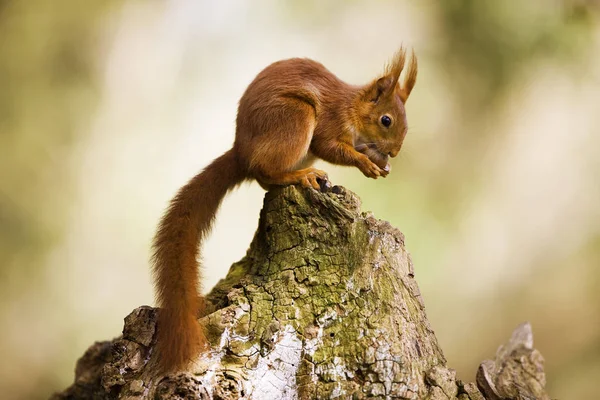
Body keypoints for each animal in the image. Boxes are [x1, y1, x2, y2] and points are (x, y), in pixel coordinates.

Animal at [154, 48, 418, 374]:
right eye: (386, 120)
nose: (394, 152)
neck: (352, 108)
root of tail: (241, 154)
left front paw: (380, 162)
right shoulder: (330, 122)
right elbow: (330, 146)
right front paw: (365, 162)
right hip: (293, 118)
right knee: (266, 172)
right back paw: (300, 175)